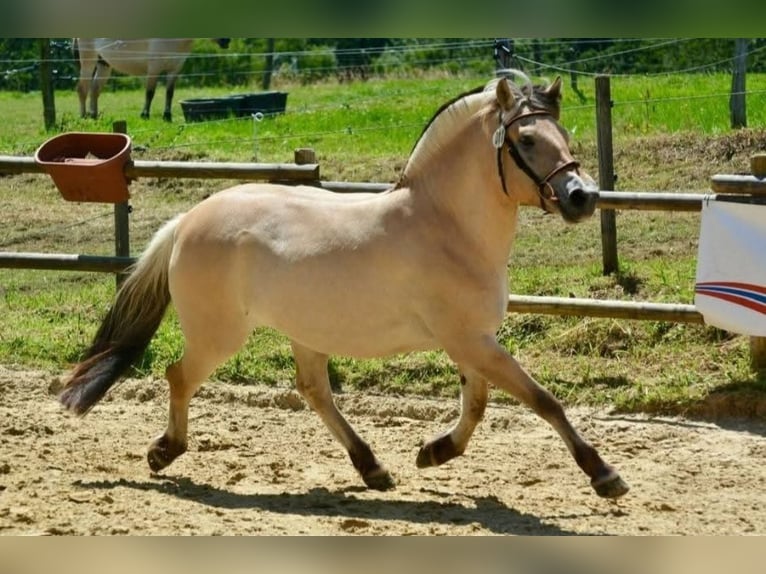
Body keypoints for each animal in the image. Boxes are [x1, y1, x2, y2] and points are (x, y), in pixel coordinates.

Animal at [58, 73, 629, 499]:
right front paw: (605, 475)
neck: (446, 227)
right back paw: (165, 451)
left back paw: (372, 467)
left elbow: (478, 404)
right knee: (179, 376)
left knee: (314, 390)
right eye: (526, 141)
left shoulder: (471, 343)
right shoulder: (471, 340)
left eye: (566, 138)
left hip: (305, 332)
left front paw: (433, 452)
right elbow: (543, 400)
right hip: (219, 334)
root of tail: (187, 220)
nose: (582, 196)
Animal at [74, 38, 230, 122]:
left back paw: (94, 116)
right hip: (89, 61)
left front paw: (167, 116)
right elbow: (150, 93)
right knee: (82, 89)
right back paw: (83, 116)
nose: (226, 41)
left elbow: (169, 93)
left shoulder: (174, 70)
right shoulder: (154, 69)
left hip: (104, 64)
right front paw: (145, 115)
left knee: (94, 90)